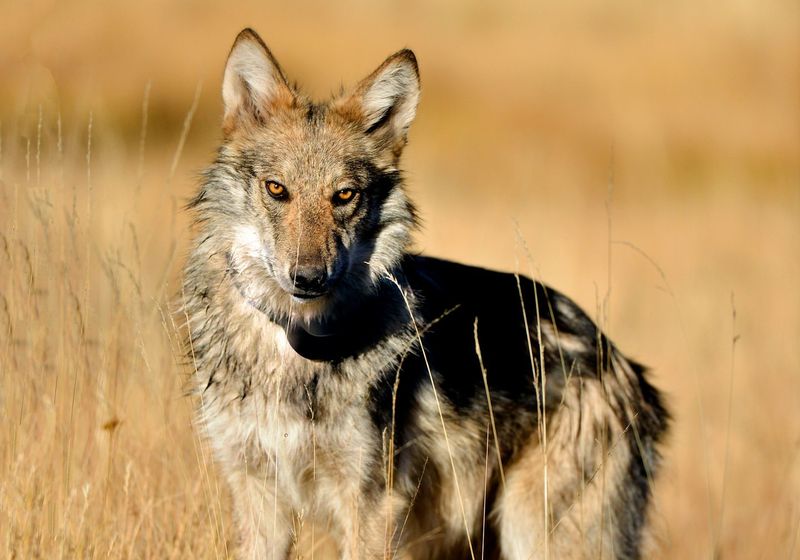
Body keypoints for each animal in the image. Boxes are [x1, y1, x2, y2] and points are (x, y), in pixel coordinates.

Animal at [181, 27, 668, 560]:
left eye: (344, 196)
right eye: (276, 189)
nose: (308, 279)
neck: (294, 353)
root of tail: (626, 369)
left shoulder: (372, 500)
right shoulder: (256, 491)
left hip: (536, 534)